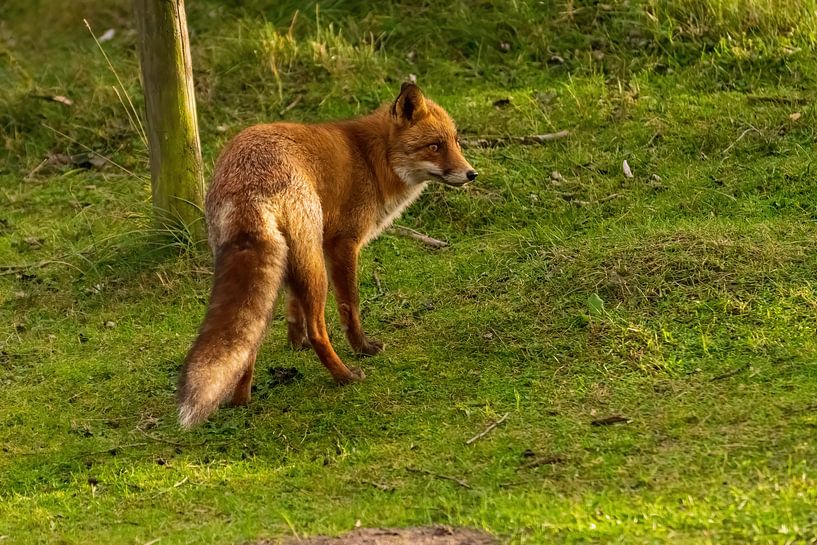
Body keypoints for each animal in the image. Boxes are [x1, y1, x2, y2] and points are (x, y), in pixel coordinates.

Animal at [176, 82, 477, 428]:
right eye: (434, 146)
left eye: (455, 142)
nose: (471, 174)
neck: (372, 160)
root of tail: (246, 182)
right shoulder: (342, 243)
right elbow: (350, 307)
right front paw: (362, 347)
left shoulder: (305, 253)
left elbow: (293, 307)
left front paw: (296, 344)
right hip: (316, 268)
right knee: (319, 329)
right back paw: (344, 376)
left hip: (283, 259)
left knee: (250, 337)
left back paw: (241, 399)